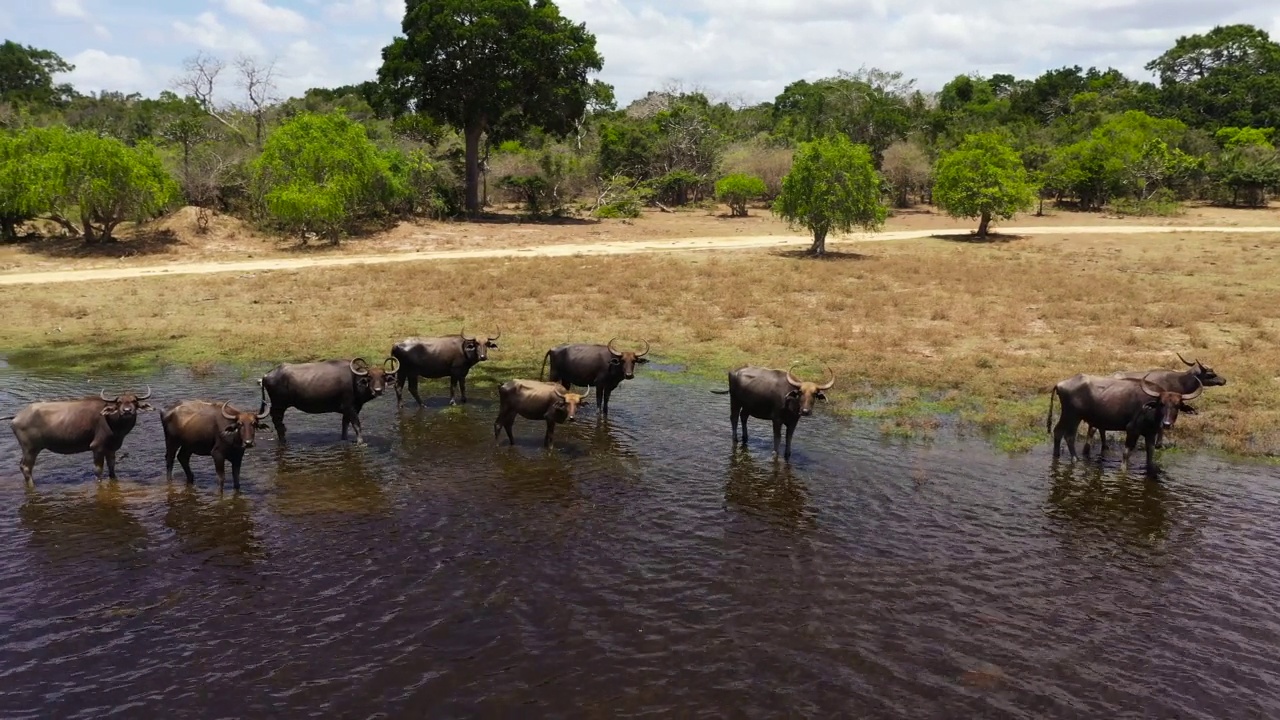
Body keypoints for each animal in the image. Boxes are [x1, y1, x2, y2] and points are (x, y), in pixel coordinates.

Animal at [5, 386, 152, 481]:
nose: (127, 411)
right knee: (26, 468)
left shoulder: (111, 448)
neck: (112, 422)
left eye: (134, 401)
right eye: (119, 402)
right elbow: (98, 470)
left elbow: (112, 467)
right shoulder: (97, 447)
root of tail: (17, 416)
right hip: (30, 449)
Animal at [257, 353, 396, 443]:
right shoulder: (350, 408)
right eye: (370, 377)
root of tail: (266, 375)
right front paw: (361, 442)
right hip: (278, 406)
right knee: (278, 424)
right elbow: (357, 425)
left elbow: (344, 426)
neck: (355, 380)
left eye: (383, 376)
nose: (378, 390)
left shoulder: (349, 409)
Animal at [1049, 368, 1198, 471]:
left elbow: (1150, 454)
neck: (1150, 409)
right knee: (1069, 436)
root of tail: (1060, 384)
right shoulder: (1132, 429)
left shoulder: (1150, 434)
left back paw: (1056, 455)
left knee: (1058, 432)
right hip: (1073, 416)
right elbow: (1126, 453)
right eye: (1161, 403)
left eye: (1177, 405)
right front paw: (1123, 470)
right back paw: (1075, 459)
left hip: (1069, 416)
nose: (1167, 423)